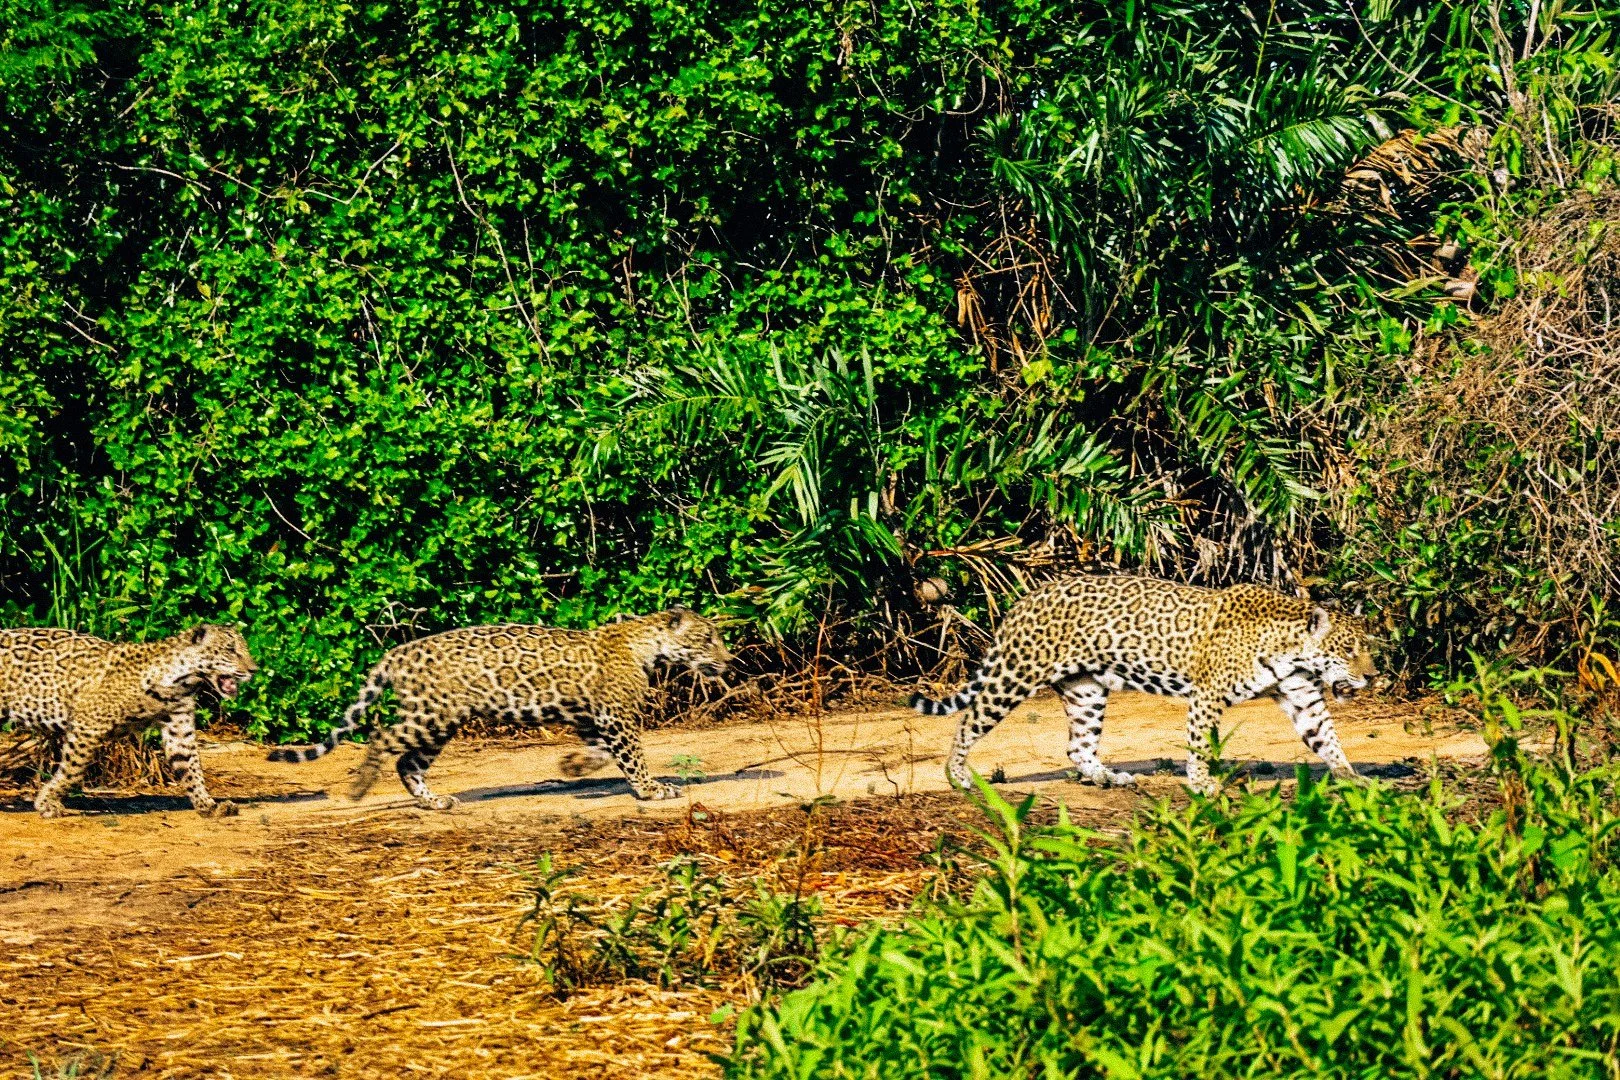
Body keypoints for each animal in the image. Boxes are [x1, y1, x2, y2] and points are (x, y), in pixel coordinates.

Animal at [0, 624, 258, 818]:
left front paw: (209, 805)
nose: (254, 670)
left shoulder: (179, 727)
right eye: (230, 650)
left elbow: (191, 766)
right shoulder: (87, 724)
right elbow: (74, 770)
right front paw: (47, 802)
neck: (180, 680)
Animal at [267, 607, 731, 808]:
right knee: (383, 738)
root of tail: (396, 652)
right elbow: (633, 757)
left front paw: (572, 766)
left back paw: (432, 801)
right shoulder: (616, 715)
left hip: (440, 723)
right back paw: (361, 787)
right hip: (432, 714)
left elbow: (601, 751)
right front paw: (652, 790)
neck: (649, 646)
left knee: (408, 762)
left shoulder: (590, 715)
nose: (729, 662)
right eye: (708, 638)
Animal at [910, 574, 1376, 796]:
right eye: (1349, 649)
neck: (1290, 649)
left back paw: (1106, 778)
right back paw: (957, 776)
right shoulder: (1207, 694)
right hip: (1016, 673)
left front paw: (1352, 777)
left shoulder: (1303, 696)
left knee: (1078, 746)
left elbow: (1327, 738)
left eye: (1366, 648)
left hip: (1086, 690)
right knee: (969, 720)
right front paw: (1202, 785)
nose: (1372, 675)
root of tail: (1025, 600)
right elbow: (1200, 744)